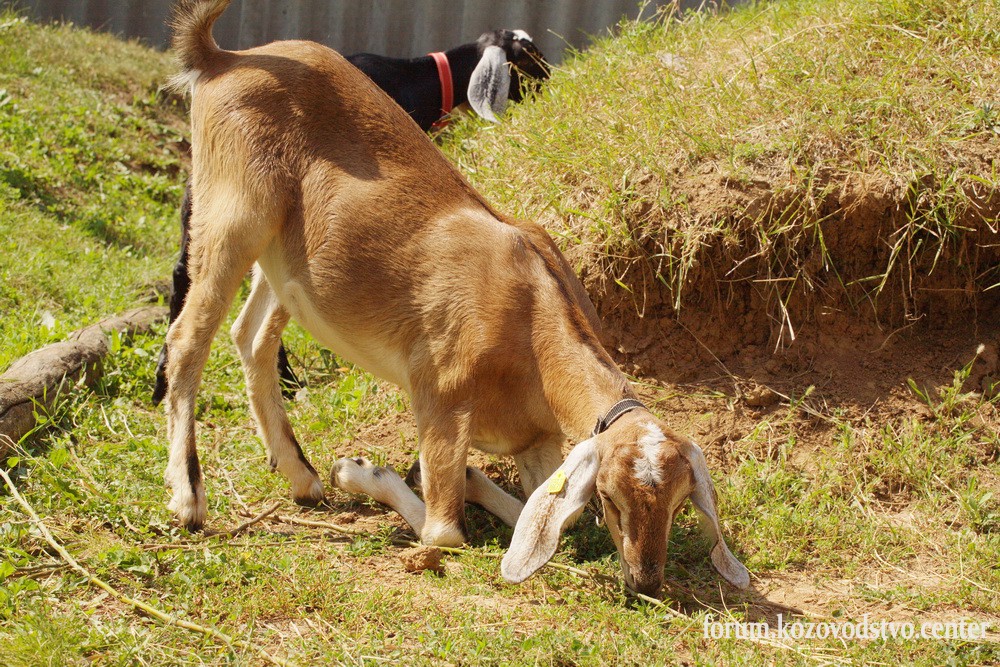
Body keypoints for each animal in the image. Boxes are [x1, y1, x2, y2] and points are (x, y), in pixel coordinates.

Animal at [151, 28, 550, 404]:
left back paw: (162, 383)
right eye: (528, 55)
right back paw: (281, 378)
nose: (551, 81)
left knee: (184, 273)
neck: (415, 76)